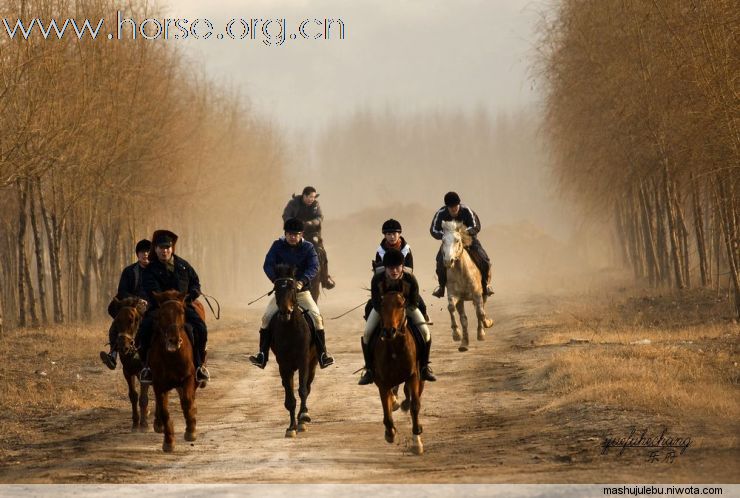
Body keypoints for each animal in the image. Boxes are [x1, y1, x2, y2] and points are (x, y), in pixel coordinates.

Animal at [107, 296, 149, 432]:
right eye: (117, 320)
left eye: (133, 320)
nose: (123, 347)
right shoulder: (128, 370)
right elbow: (133, 396)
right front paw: (135, 423)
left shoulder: (146, 371)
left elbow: (143, 398)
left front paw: (144, 424)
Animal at [148, 290, 204, 454]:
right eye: (161, 313)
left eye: (182, 311)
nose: (174, 340)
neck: (172, 356)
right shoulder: (158, 384)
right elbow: (164, 410)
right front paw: (169, 441)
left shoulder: (189, 377)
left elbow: (187, 401)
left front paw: (191, 430)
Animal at [270, 264, 320, 436]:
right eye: (276, 289)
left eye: (292, 288)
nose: (285, 312)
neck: (290, 329)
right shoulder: (284, 365)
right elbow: (290, 397)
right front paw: (291, 427)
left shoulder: (304, 361)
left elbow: (303, 390)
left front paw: (303, 419)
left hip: (313, 363)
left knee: (308, 386)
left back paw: (304, 415)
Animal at [372, 288, 424, 456]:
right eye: (382, 304)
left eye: (401, 305)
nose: (389, 331)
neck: (394, 346)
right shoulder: (382, 382)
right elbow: (386, 411)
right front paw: (390, 433)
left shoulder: (413, 376)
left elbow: (415, 406)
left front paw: (417, 442)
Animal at [440, 220, 492, 352]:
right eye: (443, 240)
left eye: (457, 240)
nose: (448, 261)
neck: (461, 271)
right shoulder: (455, 295)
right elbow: (451, 308)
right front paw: (456, 334)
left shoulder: (477, 295)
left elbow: (480, 313)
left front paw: (486, 325)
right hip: (462, 301)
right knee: (464, 319)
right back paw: (464, 343)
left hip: (483, 294)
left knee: (481, 310)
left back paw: (481, 332)